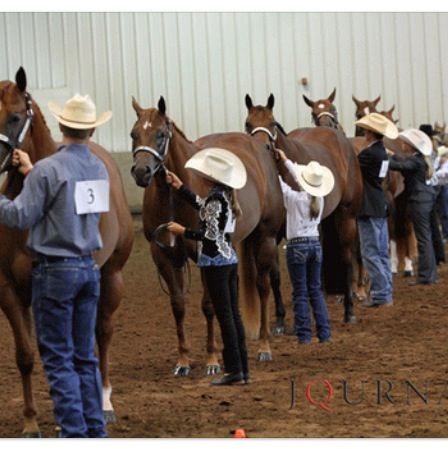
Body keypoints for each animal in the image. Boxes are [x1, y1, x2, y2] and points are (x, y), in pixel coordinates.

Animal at [130, 95, 284, 372]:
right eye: (133, 134)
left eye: (160, 134)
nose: (141, 172)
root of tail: (258, 145)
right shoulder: (164, 256)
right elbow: (178, 305)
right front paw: (183, 360)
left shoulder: (205, 253)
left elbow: (208, 305)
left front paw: (212, 359)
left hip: (266, 238)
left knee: (263, 287)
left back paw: (264, 346)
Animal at [245, 94, 364, 324]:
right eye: (248, 123)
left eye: (272, 123)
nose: (262, 148)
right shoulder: (272, 233)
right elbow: (275, 275)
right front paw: (280, 320)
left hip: (346, 215)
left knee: (346, 258)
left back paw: (350, 310)